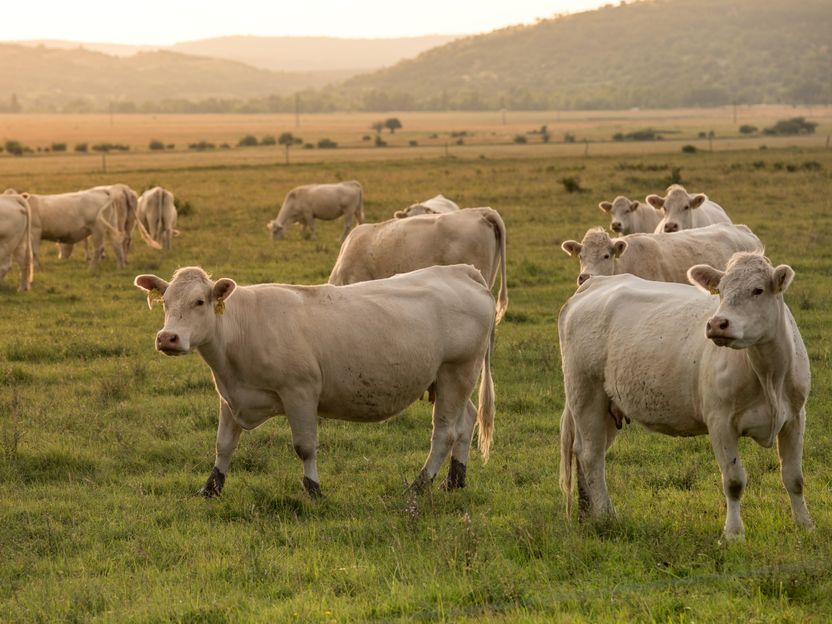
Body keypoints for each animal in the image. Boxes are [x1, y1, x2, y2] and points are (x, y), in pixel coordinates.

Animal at [134, 266, 498, 500]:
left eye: (199, 302)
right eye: (165, 302)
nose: (168, 338)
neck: (242, 328)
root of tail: (461, 271)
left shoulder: (300, 392)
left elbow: (305, 446)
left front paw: (313, 490)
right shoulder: (230, 396)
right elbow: (223, 445)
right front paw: (210, 488)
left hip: (456, 371)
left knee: (444, 433)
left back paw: (419, 486)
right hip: (449, 380)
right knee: (465, 422)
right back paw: (454, 480)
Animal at [560, 251, 812, 540]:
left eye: (758, 290)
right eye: (720, 291)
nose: (717, 324)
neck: (769, 374)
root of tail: (595, 283)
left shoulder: (795, 417)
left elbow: (794, 477)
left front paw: (805, 524)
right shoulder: (720, 422)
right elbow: (734, 481)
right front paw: (733, 534)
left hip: (608, 406)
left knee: (588, 452)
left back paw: (588, 514)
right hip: (585, 393)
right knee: (591, 455)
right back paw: (605, 516)